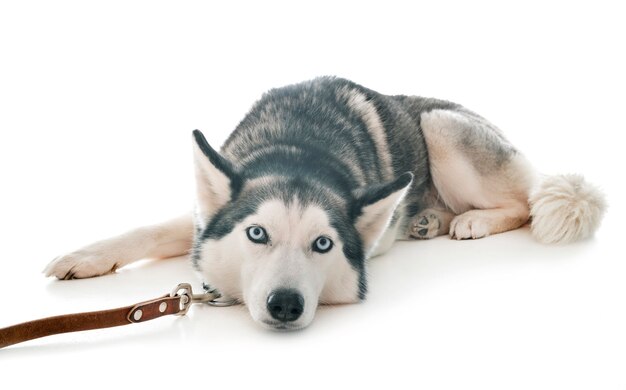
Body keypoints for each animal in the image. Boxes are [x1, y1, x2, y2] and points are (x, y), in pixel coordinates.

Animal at [44, 77, 604, 330]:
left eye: (322, 244)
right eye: (256, 234)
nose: (285, 305)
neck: (299, 147)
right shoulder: (210, 208)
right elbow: (150, 230)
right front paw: (85, 257)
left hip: (441, 127)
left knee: (525, 203)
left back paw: (473, 222)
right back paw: (427, 219)